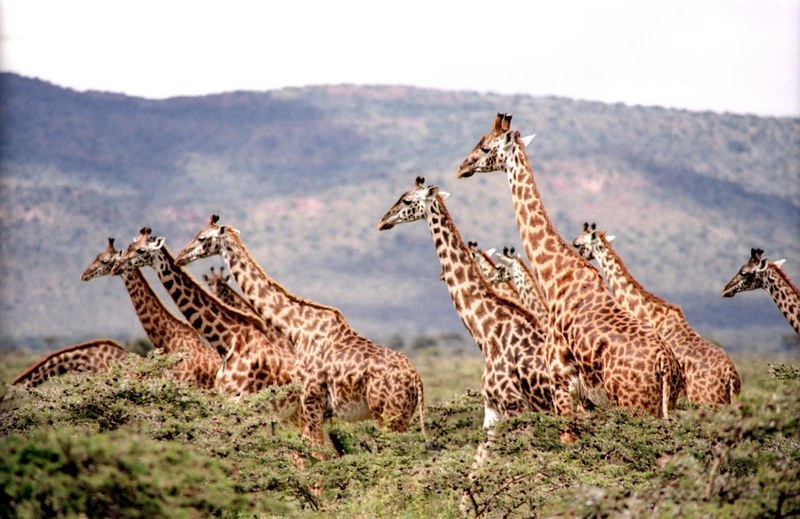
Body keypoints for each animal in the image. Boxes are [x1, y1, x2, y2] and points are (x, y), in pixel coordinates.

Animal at [175, 215, 425, 449]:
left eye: (202, 238)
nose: (180, 257)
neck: (297, 329)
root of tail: (416, 380)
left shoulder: (311, 400)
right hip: (400, 416)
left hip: (388, 414)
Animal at [457, 113, 683, 418]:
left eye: (484, 147)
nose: (461, 168)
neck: (556, 276)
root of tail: (665, 366)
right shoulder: (584, 399)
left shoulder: (561, 380)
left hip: (634, 404)